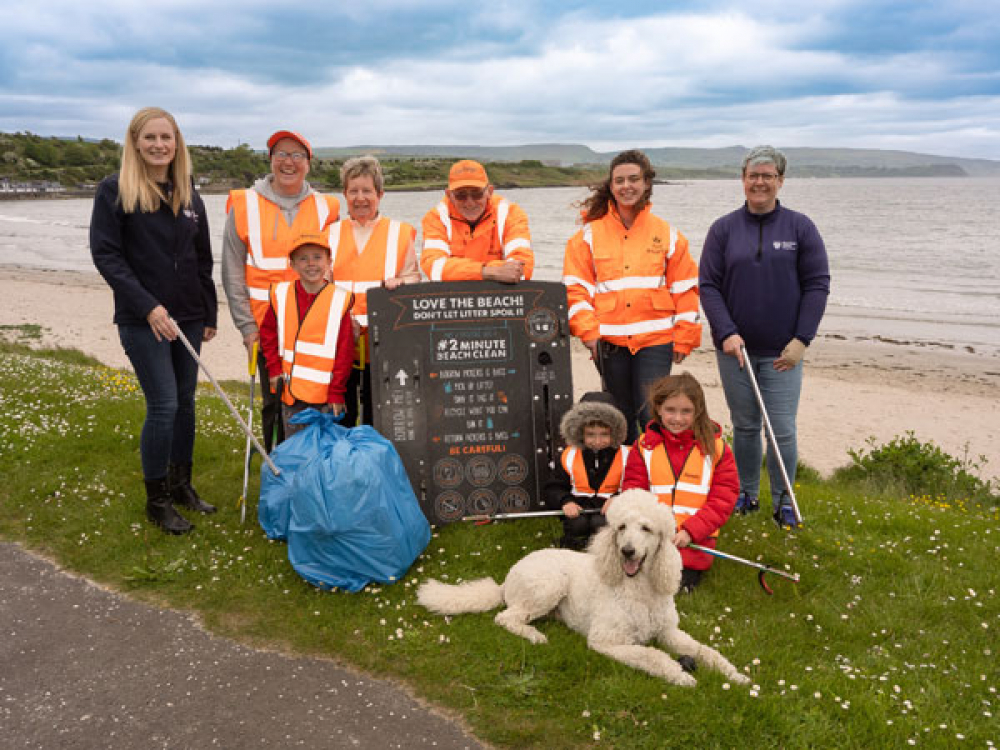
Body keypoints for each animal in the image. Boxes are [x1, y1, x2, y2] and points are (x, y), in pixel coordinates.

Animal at [416, 488, 752, 688]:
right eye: (621, 527)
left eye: (646, 528)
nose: (627, 551)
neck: (638, 590)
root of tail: (506, 580)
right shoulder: (608, 641)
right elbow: (651, 656)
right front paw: (680, 675)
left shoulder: (669, 632)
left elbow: (706, 651)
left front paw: (735, 675)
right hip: (549, 584)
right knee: (506, 617)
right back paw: (534, 636)